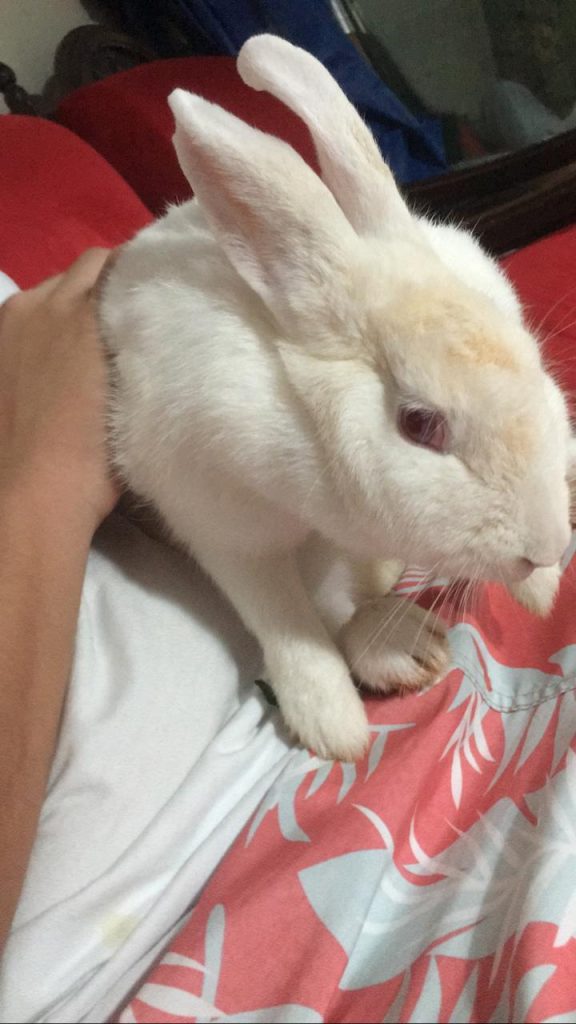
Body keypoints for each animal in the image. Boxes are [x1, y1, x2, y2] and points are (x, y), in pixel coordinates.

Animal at [99, 34, 573, 762]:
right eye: (420, 424)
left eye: (529, 355)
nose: (549, 546)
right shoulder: (219, 521)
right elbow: (284, 620)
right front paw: (335, 726)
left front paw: (539, 591)